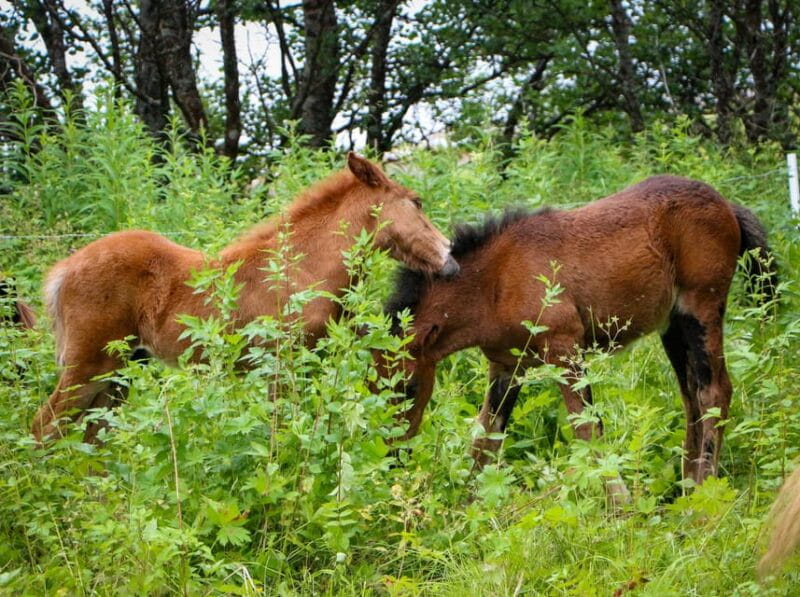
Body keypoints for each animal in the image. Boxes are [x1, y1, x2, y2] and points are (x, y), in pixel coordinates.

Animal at [32, 152, 459, 443]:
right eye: (417, 202)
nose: (451, 263)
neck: (303, 267)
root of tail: (62, 270)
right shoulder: (281, 362)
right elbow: (282, 429)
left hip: (121, 370)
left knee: (91, 436)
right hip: (88, 364)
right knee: (44, 426)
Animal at [382, 175, 776, 494]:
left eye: (409, 388)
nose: (394, 453)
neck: (496, 283)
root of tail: (728, 206)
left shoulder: (565, 351)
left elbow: (588, 430)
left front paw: (620, 508)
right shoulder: (507, 366)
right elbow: (486, 436)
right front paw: (468, 508)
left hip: (702, 308)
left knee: (715, 392)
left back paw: (703, 492)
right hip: (673, 326)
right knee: (691, 395)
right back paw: (686, 486)